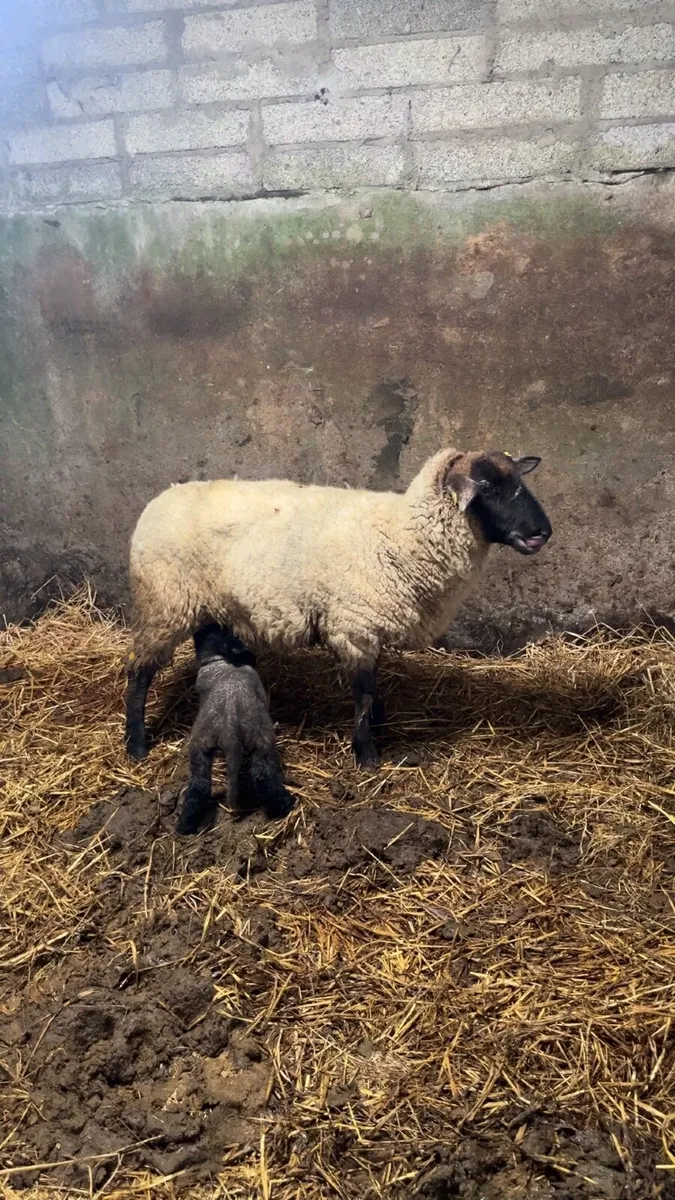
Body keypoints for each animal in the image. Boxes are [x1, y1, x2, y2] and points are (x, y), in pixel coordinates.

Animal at [125, 447, 552, 768]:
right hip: (163, 603)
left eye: (519, 481)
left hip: (205, 607)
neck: (402, 534)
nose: (543, 532)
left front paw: (380, 730)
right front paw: (367, 756)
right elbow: (362, 693)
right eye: (488, 487)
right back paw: (136, 744)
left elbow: (373, 687)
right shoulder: (354, 626)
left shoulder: (367, 626)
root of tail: (158, 501)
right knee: (138, 672)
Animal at [176, 623, 295, 835]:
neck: (216, 660)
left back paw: (184, 825)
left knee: (199, 785)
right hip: (261, 738)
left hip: (200, 746)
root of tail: (228, 725)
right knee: (262, 774)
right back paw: (285, 804)